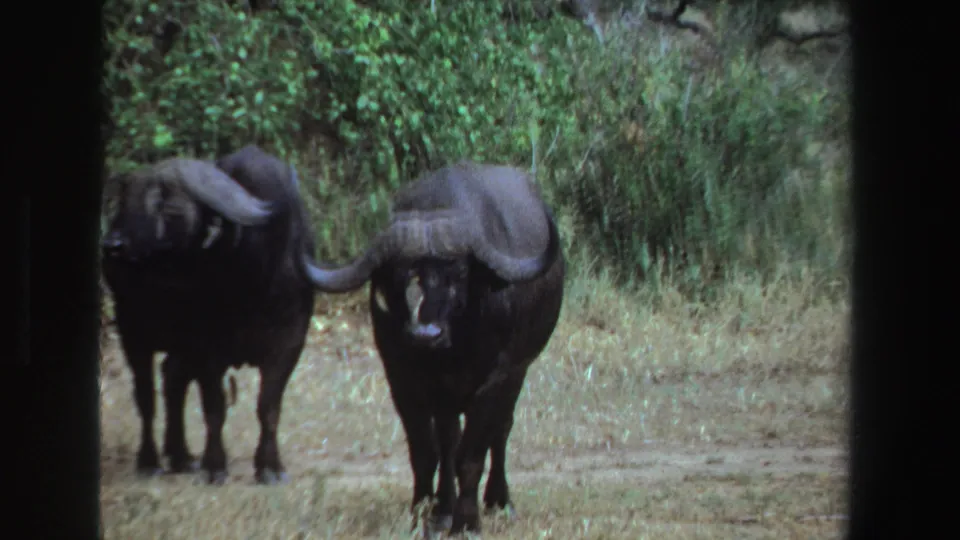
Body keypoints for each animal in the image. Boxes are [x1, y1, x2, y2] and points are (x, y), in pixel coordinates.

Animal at [101, 145, 318, 485]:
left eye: (166, 205)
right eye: (126, 202)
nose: (113, 244)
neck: (254, 283)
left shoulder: (290, 343)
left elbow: (269, 407)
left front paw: (270, 466)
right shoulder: (207, 348)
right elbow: (214, 407)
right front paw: (215, 466)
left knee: (172, 378)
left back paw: (180, 455)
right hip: (132, 329)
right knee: (147, 396)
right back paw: (151, 461)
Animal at [300, 162, 565, 533]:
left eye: (459, 272)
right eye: (399, 275)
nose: (425, 333)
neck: (452, 350)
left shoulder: (499, 377)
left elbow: (472, 454)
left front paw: (467, 522)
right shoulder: (402, 380)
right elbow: (427, 452)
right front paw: (424, 513)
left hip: (518, 371)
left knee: (501, 430)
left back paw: (499, 500)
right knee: (449, 440)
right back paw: (444, 507)